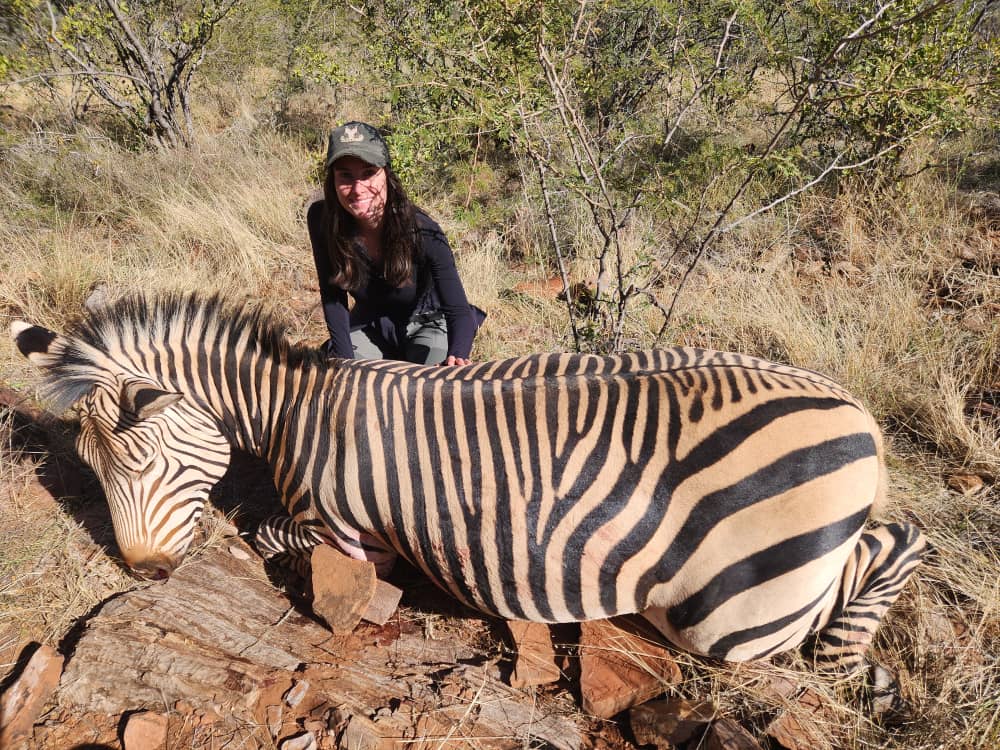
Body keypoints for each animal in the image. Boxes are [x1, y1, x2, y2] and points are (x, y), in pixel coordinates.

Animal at [11, 293, 926, 671]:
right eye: (90, 467)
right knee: (899, 539)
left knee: (888, 554)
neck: (298, 408)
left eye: (134, 460)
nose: (142, 574)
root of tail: (856, 411)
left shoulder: (338, 527)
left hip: (733, 619)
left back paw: (850, 654)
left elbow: (263, 531)